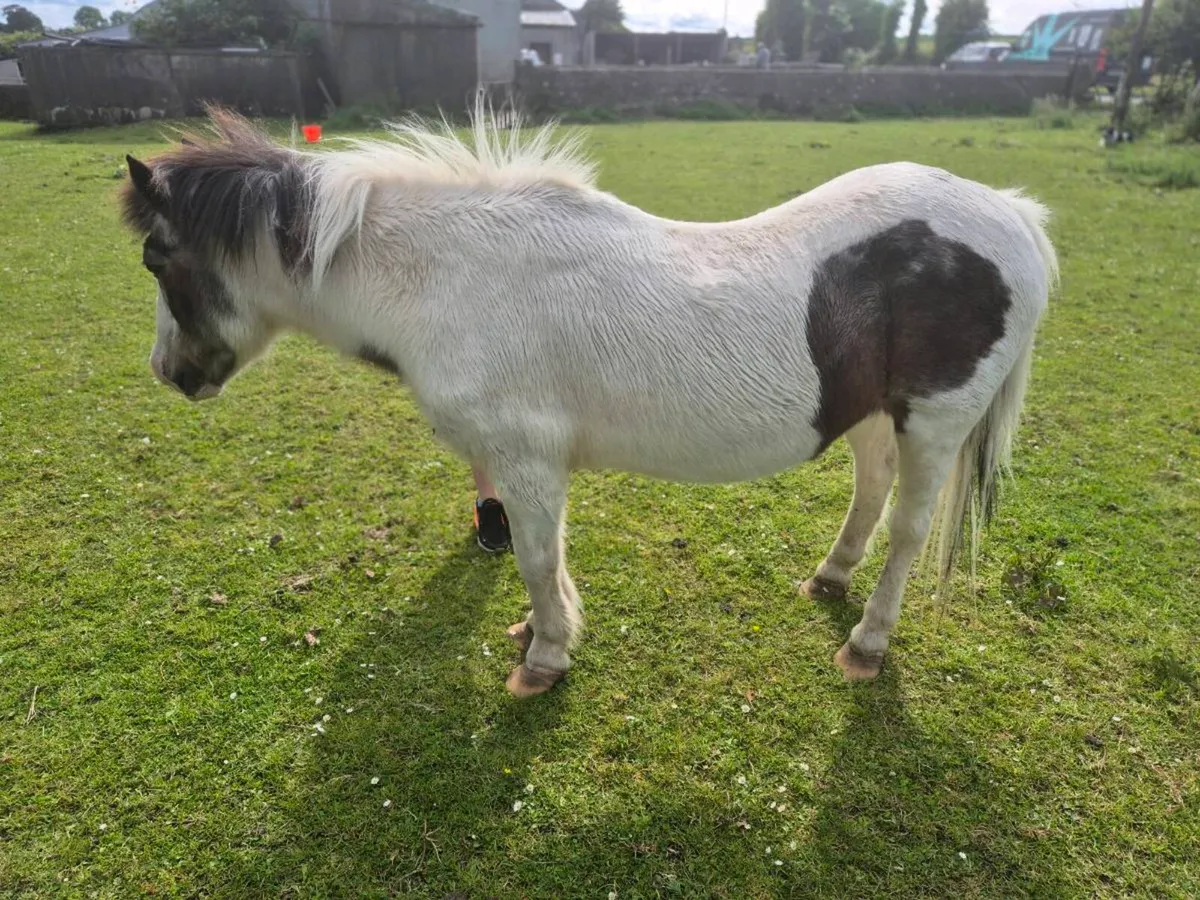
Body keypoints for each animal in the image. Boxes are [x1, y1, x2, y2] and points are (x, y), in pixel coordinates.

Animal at [120, 104, 1057, 697]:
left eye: (156, 258)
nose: (170, 372)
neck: (453, 276)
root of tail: (1010, 214)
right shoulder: (528, 465)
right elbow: (550, 557)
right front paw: (550, 632)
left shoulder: (529, 460)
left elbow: (537, 560)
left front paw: (544, 657)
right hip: (866, 410)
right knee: (869, 487)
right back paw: (830, 577)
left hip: (935, 422)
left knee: (908, 530)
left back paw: (867, 641)